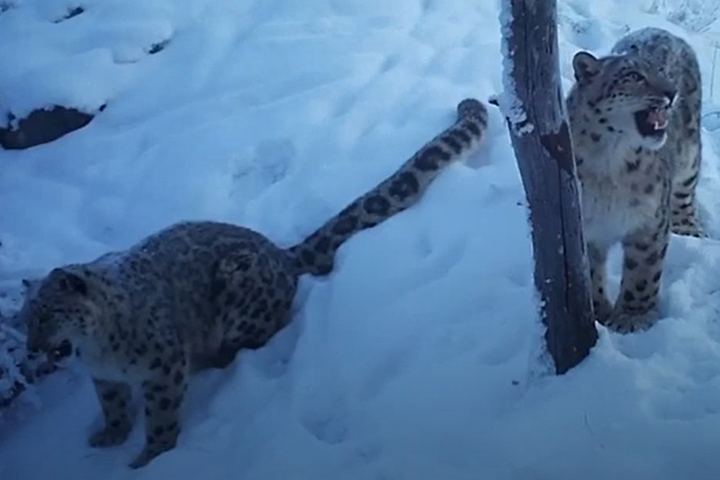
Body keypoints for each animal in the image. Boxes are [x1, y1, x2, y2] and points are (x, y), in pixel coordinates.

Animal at [18, 98, 490, 468]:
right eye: (26, 319)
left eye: (51, 313)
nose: (33, 348)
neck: (98, 351)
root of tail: (279, 253)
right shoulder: (105, 379)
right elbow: (113, 406)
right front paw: (110, 436)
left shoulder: (162, 367)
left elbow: (162, 414)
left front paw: (150, 456)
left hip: (238, 291)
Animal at [568, 27, 704, 334]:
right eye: (633, 76)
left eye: (660, 72)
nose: (671, 91)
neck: (608, 162)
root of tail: (663, 30)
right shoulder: (585, 224)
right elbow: (590, 270)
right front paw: (599, 311)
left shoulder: (650, 221)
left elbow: (643, 271)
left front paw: (633, 317)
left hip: (690, 158)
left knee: (685, 196)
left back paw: (689, 229)